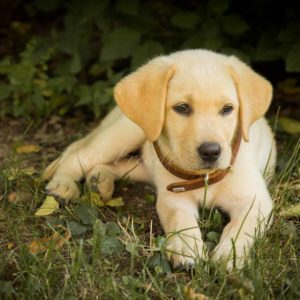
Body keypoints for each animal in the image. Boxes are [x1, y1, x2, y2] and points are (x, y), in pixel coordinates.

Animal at [43, 49, 276, 270]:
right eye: (182, 107)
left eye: (228, 109)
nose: (211, 152)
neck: (203, 178)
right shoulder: (173, 198)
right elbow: (181, 219)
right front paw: (186, 248)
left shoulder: (255, 201)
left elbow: (242, 226)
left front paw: (230, 255)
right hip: (127, 133)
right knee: (79, 155)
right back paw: (63, 185)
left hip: (147, 164)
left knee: (114, 165)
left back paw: (99, 182)